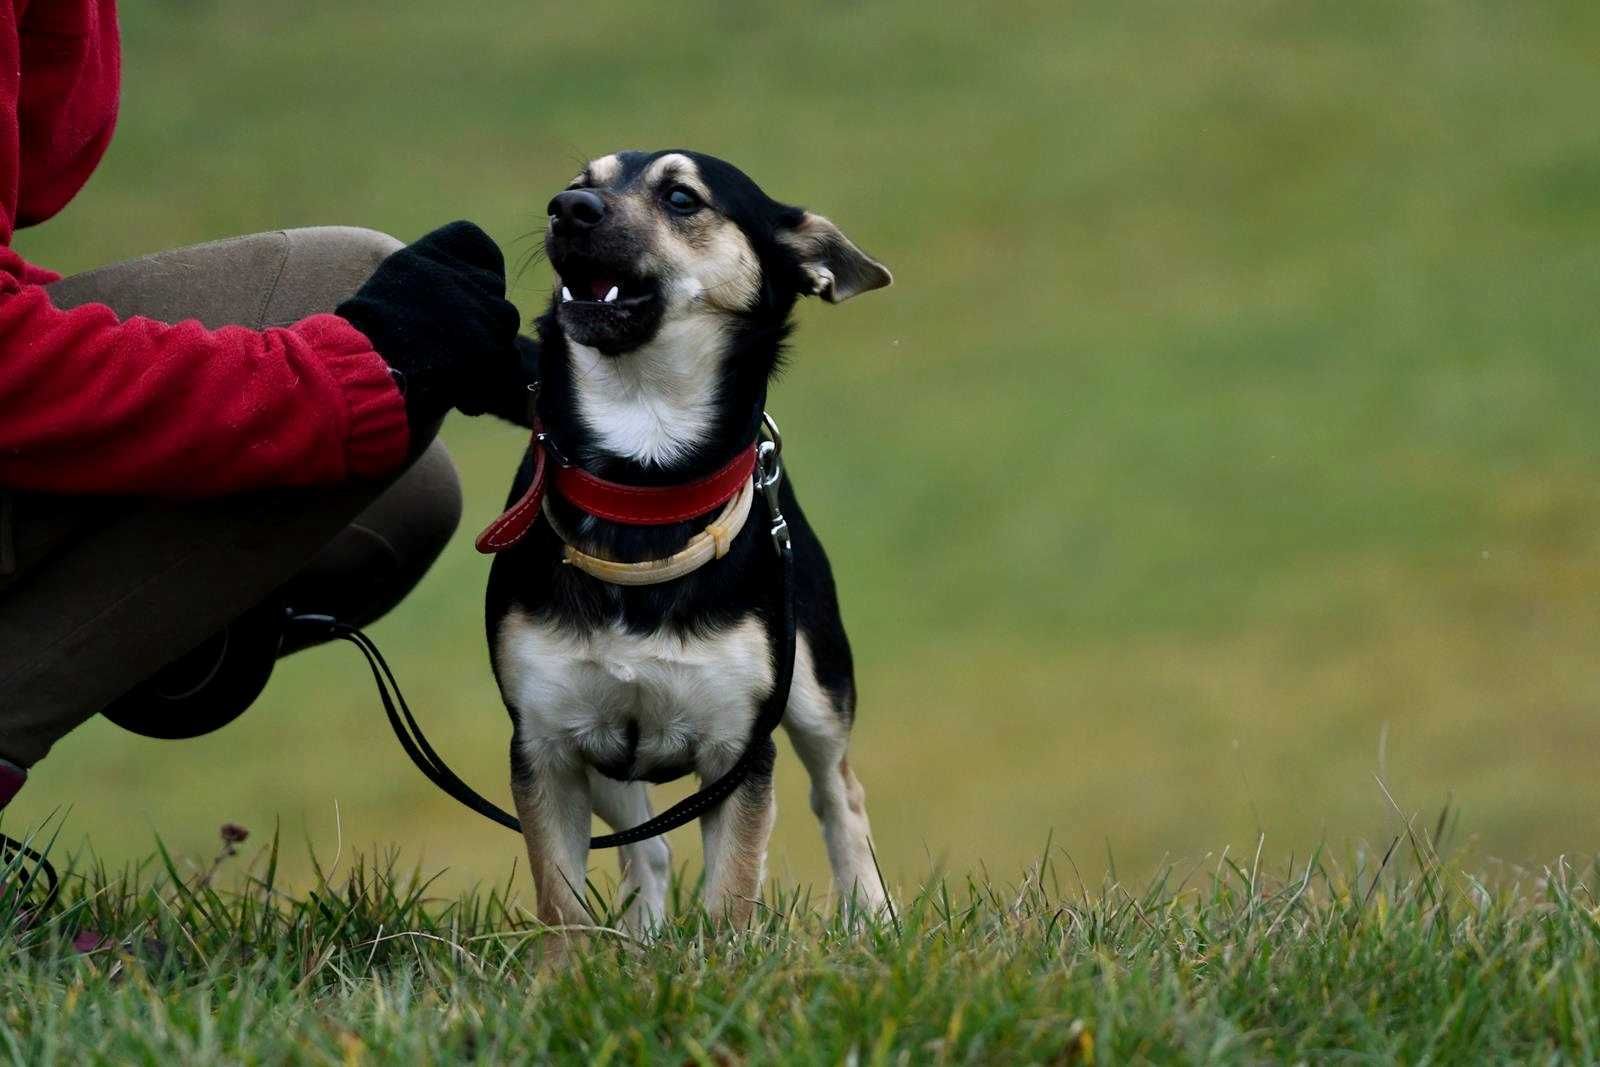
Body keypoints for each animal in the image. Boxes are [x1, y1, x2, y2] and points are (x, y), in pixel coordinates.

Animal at [480, 150, 896, 934]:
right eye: (582, 180)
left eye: (681, 198)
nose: (567, 208)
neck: (642, 474)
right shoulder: (546, 744)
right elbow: (563, 903)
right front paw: (575, 967)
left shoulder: (740, 750)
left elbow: (732, 895)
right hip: (607, 761)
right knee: (648, 850)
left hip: (816, 684)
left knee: (839, 794)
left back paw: (872, 919)